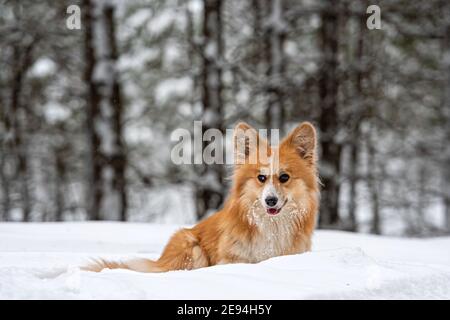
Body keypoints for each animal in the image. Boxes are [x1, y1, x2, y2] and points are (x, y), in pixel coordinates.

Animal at [83, 121, 316, 272]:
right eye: (261, 177)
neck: (272, 228)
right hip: (191, 247)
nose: (270, 200)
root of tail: (159, 261)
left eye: (284, 177)